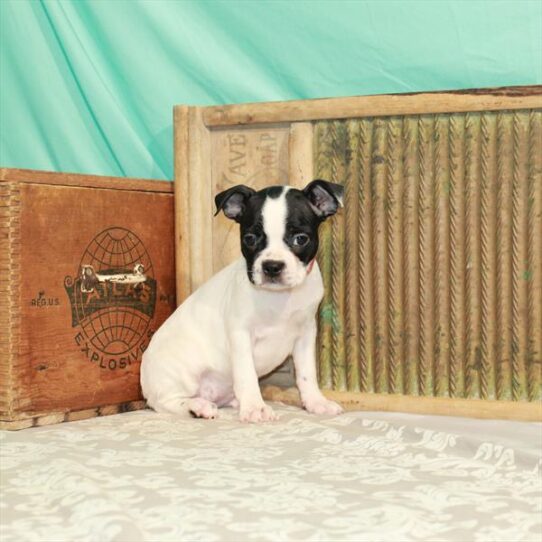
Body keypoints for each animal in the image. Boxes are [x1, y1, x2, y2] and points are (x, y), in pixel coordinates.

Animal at [140, 181, 344, 422]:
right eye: (250, 239)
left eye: (300, 239)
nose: (272, 266)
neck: (278, 297)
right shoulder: (241, 335)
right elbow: (247, 374)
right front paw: (255, 407)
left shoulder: (305, 335)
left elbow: (307, 374)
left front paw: (316, 402)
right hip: (181, 374)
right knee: (164, 403)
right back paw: (197, 407)